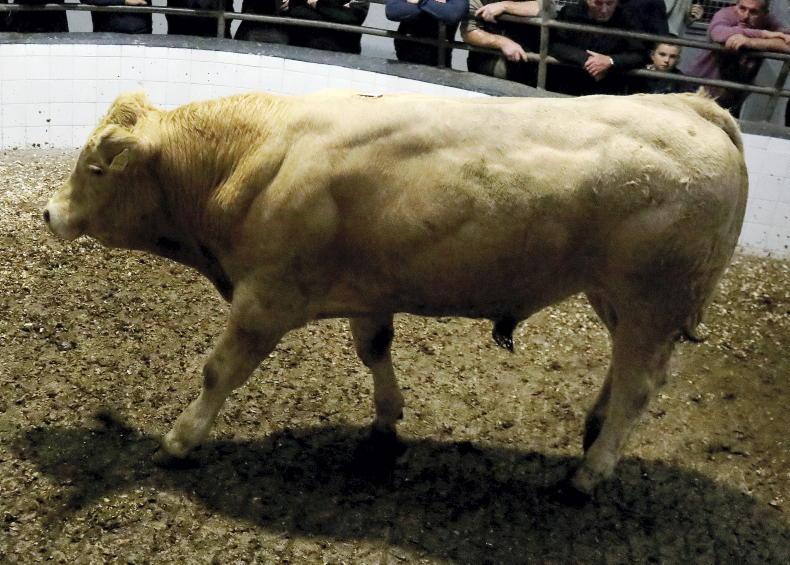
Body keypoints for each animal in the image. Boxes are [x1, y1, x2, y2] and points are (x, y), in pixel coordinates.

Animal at [43, 90, 747, 502]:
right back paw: (593, 429)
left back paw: (590, 472)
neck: (256, 155)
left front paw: (180, 440)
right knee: (624, 372)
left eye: (96, 168)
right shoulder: (367, 288)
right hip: (617, 296)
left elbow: (220, 370)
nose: (50, 213)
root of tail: (690, 105)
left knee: (639, 386)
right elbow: (375, 347)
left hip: (655, 297)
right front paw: (387, 418)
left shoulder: (265, 296)